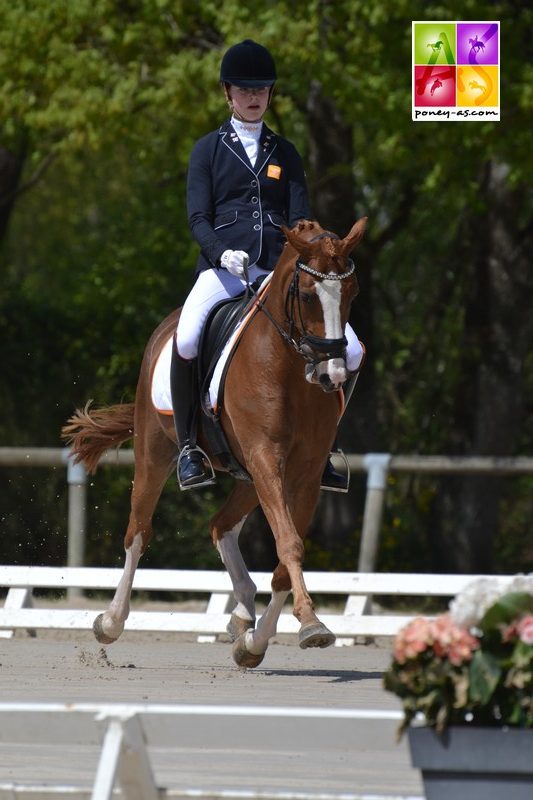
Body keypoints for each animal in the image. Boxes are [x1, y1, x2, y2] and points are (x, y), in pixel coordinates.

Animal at [62, 216, 366, 664]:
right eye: (309, 295)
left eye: (352, 293)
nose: (333, 375)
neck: (290, 370)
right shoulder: (265, 459)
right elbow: (289, 543)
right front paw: (311, 624)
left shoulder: (304, 475)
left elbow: (285, 555)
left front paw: (262, 640)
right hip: (155, 452)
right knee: (138, 532)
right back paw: (111, 621)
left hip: (248, 478)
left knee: (220, 525)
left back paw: (242, 616)